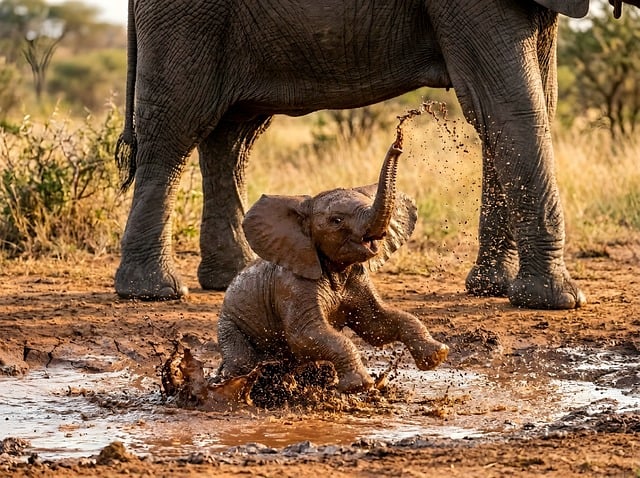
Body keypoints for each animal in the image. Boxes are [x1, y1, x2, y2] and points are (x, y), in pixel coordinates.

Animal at [115, 0, 635, 307]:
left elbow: (526, 102)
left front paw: (491, 289)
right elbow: (510, 104)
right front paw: (556, 300)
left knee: (232, 137)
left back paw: (233, 278)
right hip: (187, 17)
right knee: (176, 128)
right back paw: (155, 293)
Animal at [217, 144, 449, 393]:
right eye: (337, 220)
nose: (397, 144)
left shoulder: (358, 278)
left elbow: (377, 325)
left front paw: (437, 356)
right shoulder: (292, 285)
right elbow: (305, 335)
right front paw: (359, 386)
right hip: (229, 326)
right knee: (242, 361)